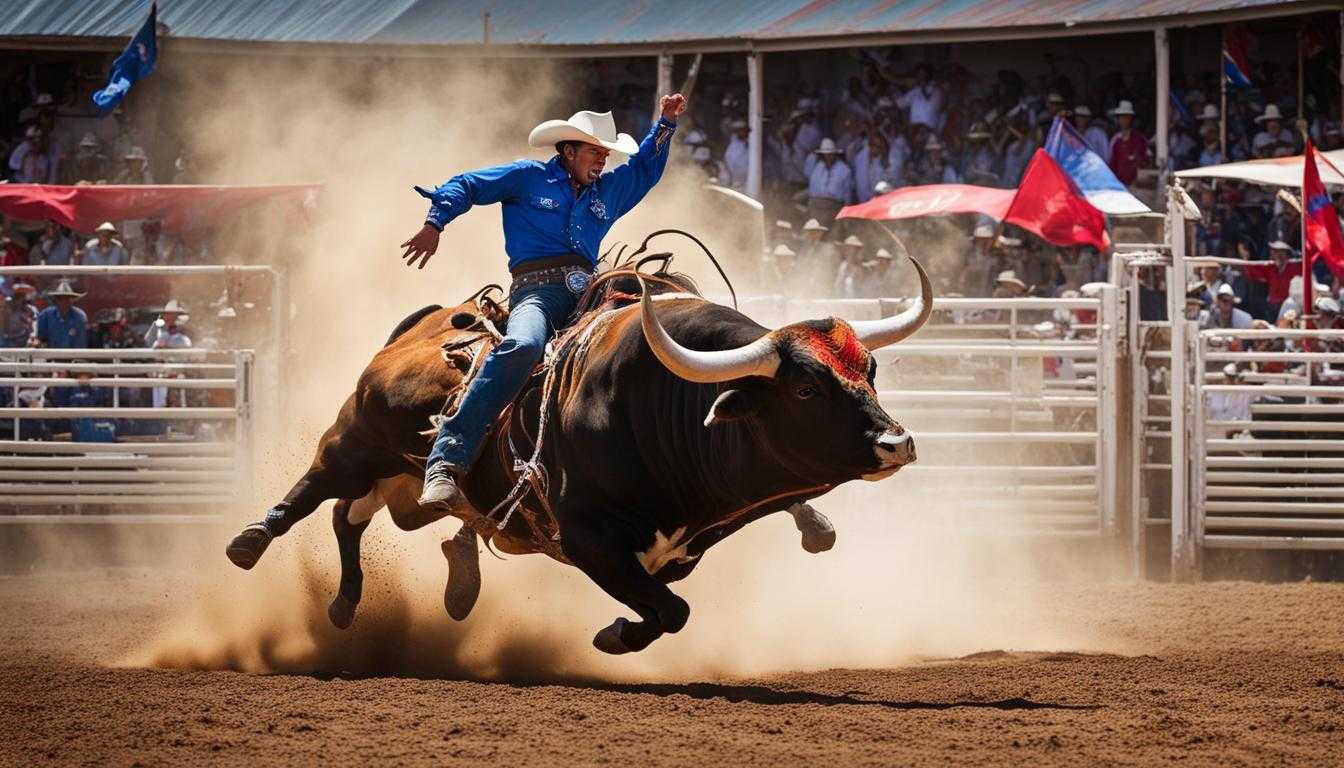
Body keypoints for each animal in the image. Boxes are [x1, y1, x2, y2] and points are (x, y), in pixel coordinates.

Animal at [225, 254, 930, 656]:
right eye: (807, 388)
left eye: (869, 370)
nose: (896, 443)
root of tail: (426, 322)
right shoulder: (590, 540)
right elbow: (671, 611)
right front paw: (614, 636)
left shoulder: (670, 555)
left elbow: (667, 606)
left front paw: (618, 632)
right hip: (355, 440)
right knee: (315, 491)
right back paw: (251, 540)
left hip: (408, 490)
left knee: (352, 515)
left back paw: (367, 601)